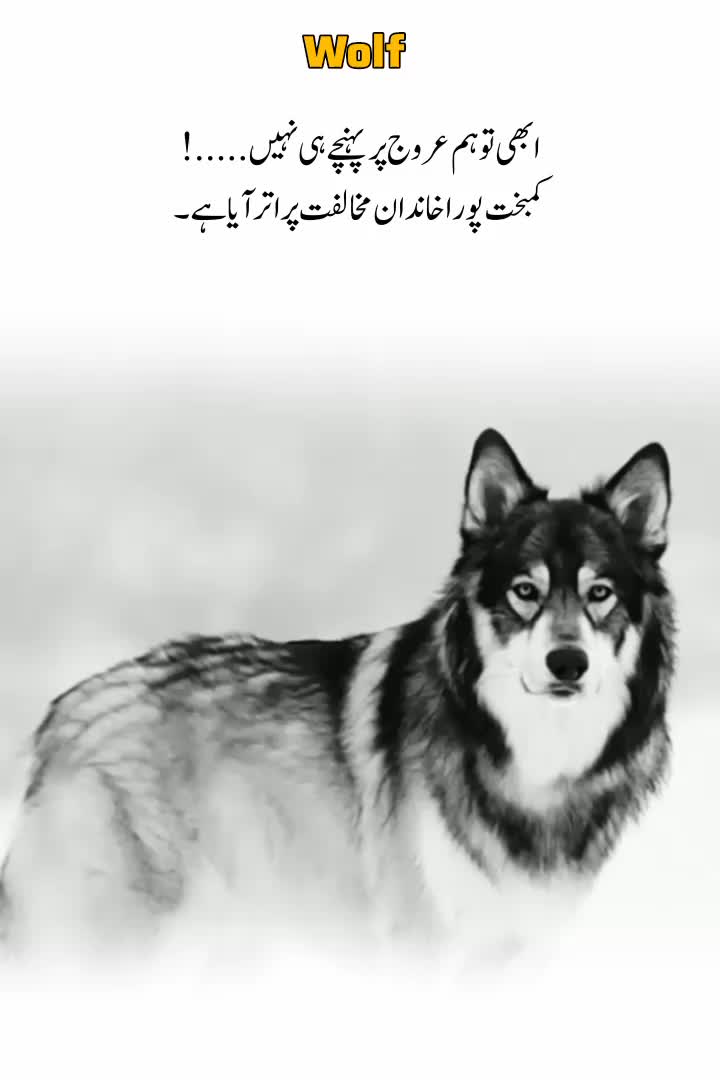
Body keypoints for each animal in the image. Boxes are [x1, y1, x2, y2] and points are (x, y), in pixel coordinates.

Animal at [0, 430, 674, 960]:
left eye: (600, 593)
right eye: (525, 592)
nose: (568, 663)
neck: (536, 763)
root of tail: (61, 715)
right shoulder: (420, 942)